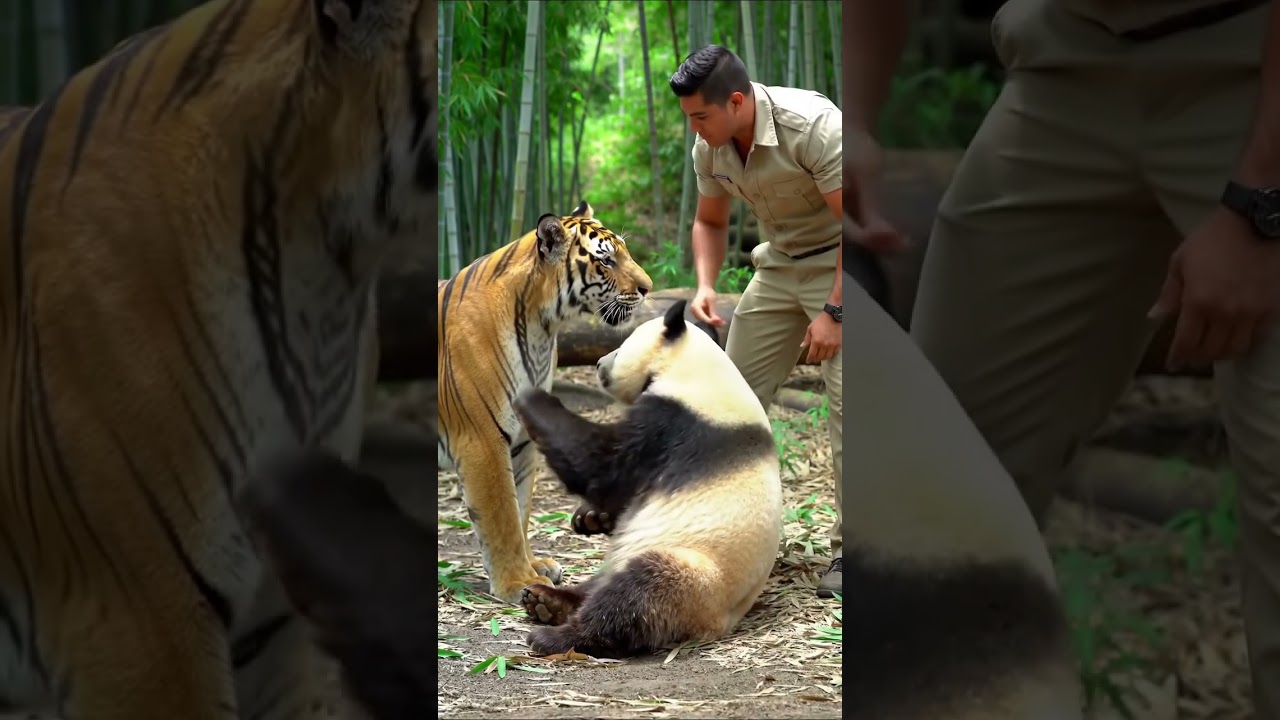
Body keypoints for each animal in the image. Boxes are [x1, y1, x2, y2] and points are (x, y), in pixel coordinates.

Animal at [438, 200, 654, 605]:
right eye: (606, 260)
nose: (648, 288)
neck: (542, 328)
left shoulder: (522, 440)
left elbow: (520, 510)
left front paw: (534, 567)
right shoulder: (482, 440)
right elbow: (502, 516)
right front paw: (518, 582)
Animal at [509, 298, 784, 659]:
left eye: (621, 345)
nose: (599, 362)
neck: (698, 369)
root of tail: (717, 625)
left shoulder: (675, 426)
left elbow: (602, 464)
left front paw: (530, 397)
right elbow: (617, 492)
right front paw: (591, 517)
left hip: (694, 577)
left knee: (636, 594)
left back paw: (557, 636)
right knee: (602, 582)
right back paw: (545, 600)